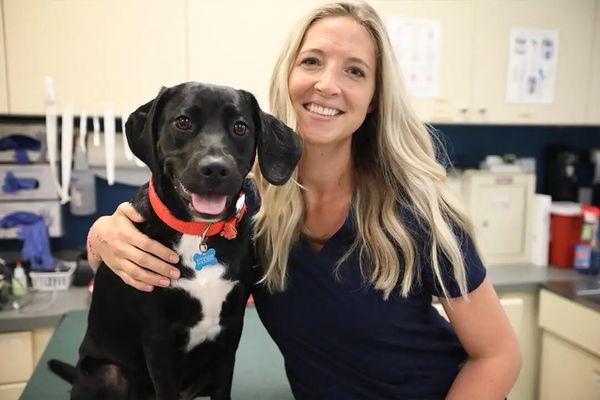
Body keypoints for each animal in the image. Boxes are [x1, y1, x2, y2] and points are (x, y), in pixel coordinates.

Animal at [48, 82, 302, 400]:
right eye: (183, 122)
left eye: (240, 127)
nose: (215, 168)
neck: (198, 233)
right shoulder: (158, 337)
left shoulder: (230, 331)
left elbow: (223, 387)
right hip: (109, 373)